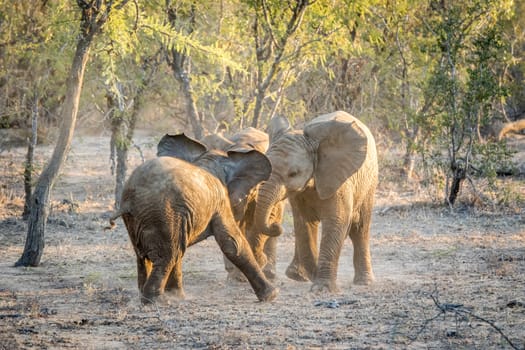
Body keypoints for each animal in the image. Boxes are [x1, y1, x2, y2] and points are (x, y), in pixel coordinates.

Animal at [107, 134, 278, 304]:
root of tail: (129, 201)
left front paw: (177, 296)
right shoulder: (220, 201)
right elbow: (233, 243)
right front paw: (271, 295)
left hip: (141, 219)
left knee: (150, 255)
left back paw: (150, 297)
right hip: (162, 213)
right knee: (168, 254)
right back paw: (158, 301)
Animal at [254, 111, 376, 292]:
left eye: (293, 174)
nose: (276, 226)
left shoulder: (338, 179)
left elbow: (336, 220)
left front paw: (321, 288)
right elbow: (304, 223)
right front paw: (314, 276)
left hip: (369, 182)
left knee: (360, 228)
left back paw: (364, 282)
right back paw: (297, 276)